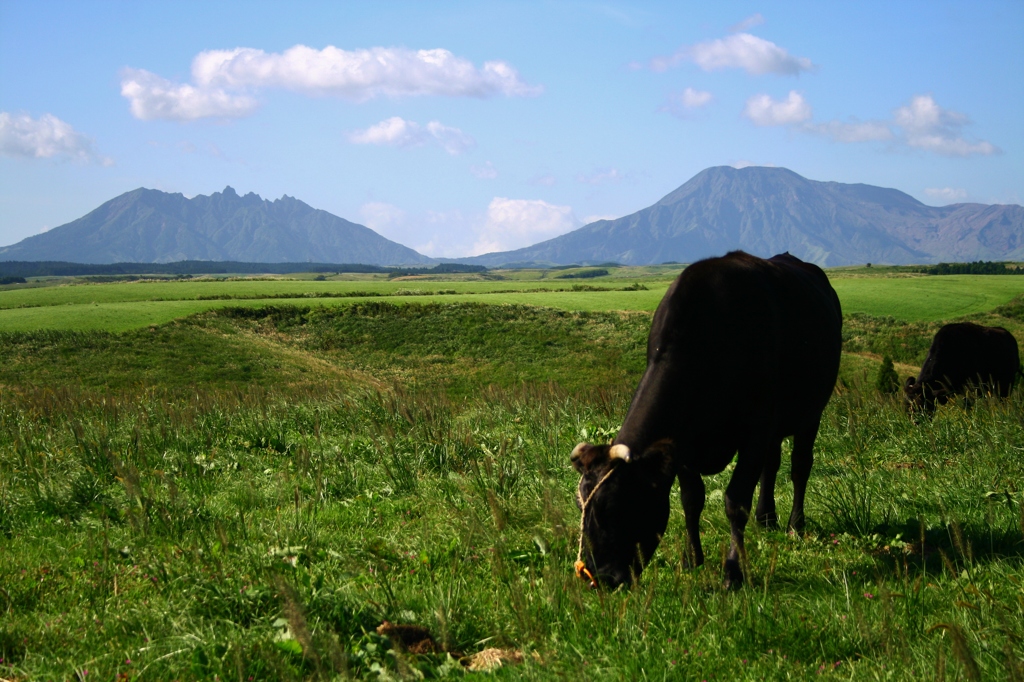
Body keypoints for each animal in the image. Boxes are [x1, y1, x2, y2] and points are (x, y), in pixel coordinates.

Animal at [569, 248, 839, 585]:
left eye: (617, 505)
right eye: (581, 506)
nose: (600, 577)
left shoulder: (755, 430)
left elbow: (736, 501)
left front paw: (733, 571)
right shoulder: (683, 441)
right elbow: (691, 499)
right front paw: (691, 558)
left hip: (811, 412)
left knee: (800, 466)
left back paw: (794, 525)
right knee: (772, 465)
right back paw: (766, 518)